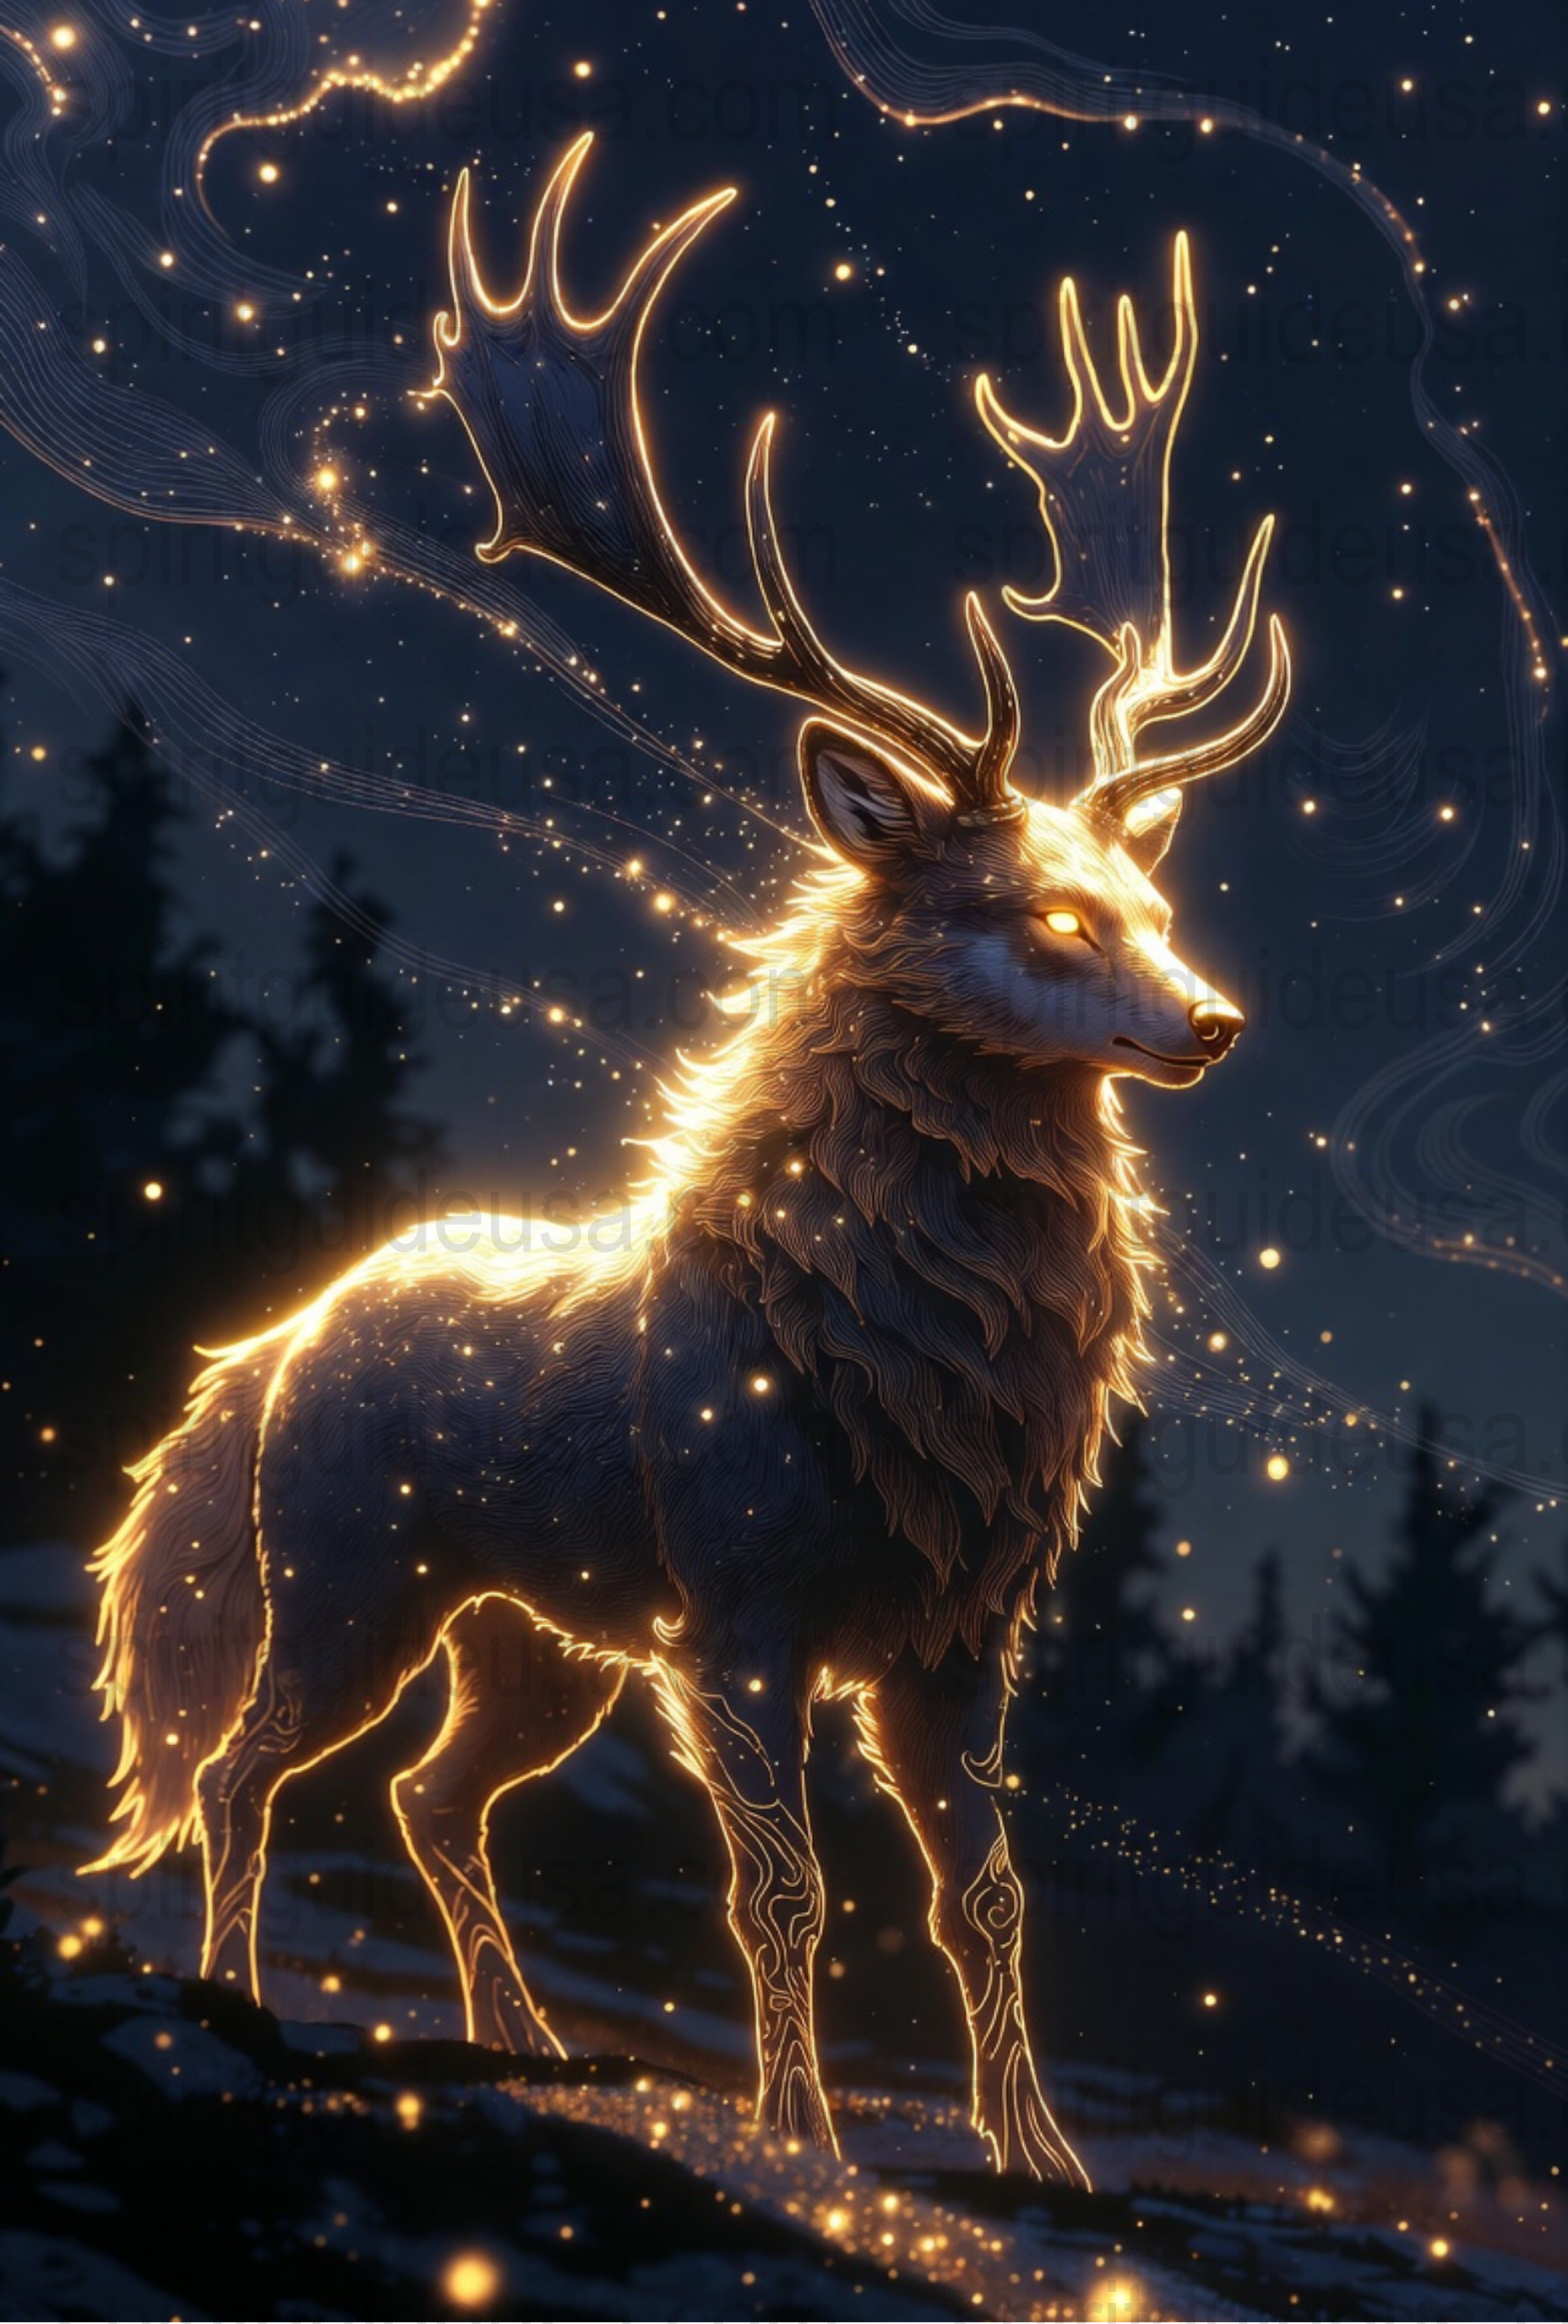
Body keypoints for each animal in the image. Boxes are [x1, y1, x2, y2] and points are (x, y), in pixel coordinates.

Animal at [87, 133, 1289, 2183]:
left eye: (1143, 898)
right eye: (1049, 915)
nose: (1210, 1021)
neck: (918, 1389)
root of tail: (269, 1349)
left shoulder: (964, 1640)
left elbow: (985, 1898)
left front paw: (1041, 2158)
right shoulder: (742, 1604)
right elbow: (785, 1889)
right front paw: (803, 2134)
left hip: (538, 1639)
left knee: (432, 1799)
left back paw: (521, 2033)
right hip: (345, 1569)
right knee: (252, 1766)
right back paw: (236, 1991)